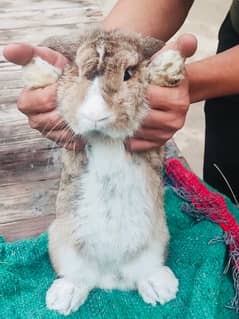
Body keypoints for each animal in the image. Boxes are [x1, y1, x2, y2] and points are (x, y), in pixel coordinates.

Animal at [21, 28, 184, 318]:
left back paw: (160, 290)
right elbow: (55, 81)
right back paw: (63, 299)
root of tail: (111, 278)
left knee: (143, 274)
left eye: (128, 73)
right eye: (78, 71)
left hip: (157, 243)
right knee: (80, 280)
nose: (96, 115)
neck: (104, 137)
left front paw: (170, 66)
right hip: (62, 247)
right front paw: (34, 69)